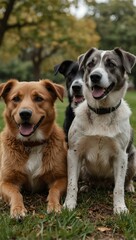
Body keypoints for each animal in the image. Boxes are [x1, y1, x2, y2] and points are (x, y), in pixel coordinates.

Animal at [0, 79, 67, 219]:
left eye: (38, 98)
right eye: (16, 98)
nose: (25, 113)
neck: (32, 144)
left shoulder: (61, 178)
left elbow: (54, 190)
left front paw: (54, 205)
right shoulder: (6, 182)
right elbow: (16, 194)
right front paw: (17, 209)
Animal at [64, 47, 136, 214]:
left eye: (111, 64)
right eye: (90, 64)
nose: (95, 76)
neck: (101, 111)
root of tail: (102, 184)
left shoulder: (121, 155)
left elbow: (118, 188)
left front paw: (120, 208)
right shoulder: (74, 152)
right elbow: (72, 184)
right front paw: (69, 204)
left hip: (132, 158)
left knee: (126, 180)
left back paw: (129, 186)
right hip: (84, 168)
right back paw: (85, 186)